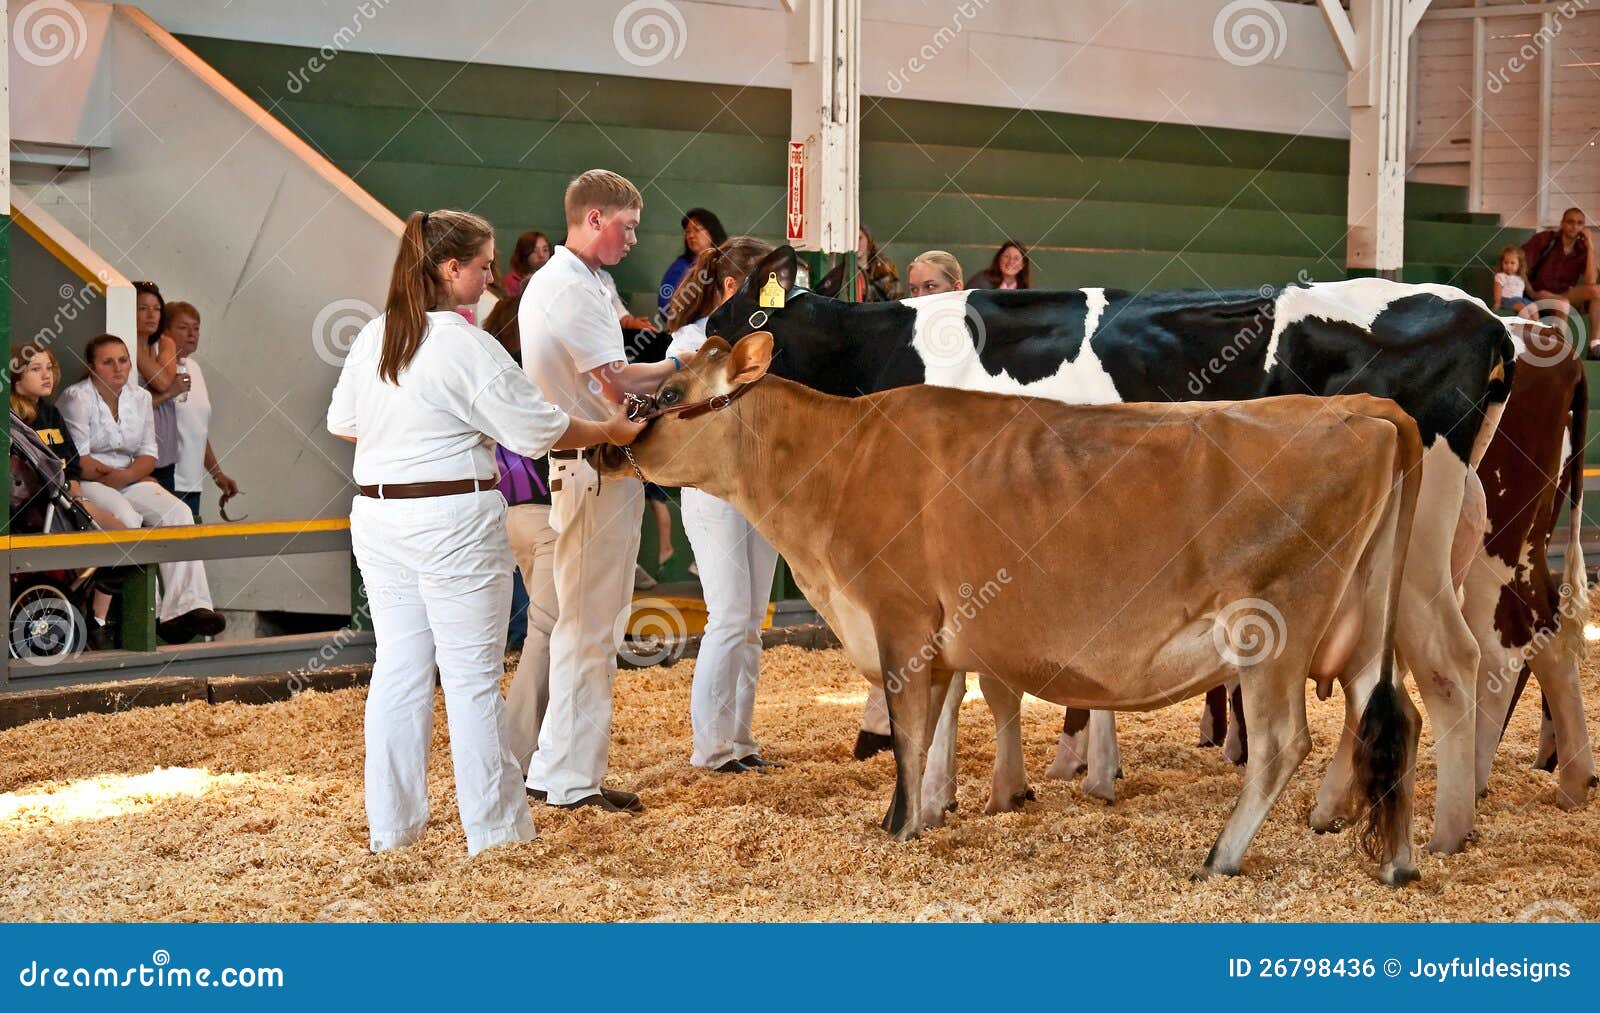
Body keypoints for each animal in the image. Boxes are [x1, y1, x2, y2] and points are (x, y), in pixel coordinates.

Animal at [595, 332, 1426, 884]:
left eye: (668, 396)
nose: (607, 446)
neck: (839, 461)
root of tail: (1367, 412)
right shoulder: (935, 637)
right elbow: (933, 729)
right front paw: (923, 815)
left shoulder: (899, 618)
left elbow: (909, 734)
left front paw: (902, 827)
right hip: (1363, 623)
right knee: (1393, 719)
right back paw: (1395, 860)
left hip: (1273, 625)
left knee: (1287, 740)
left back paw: (1220, 857)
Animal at [704, 245, 1517, 853]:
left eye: (737, 317)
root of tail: (1482, 317)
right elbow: (992, 678)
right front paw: (1013, 786)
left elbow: (958, 682)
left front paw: (935, 799)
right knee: (1381, 672)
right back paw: (1339, 810)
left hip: (1415, 546)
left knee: (1452, 661)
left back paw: (1444, 832)